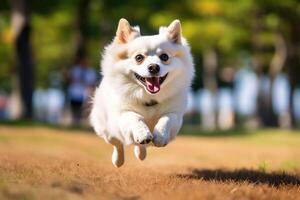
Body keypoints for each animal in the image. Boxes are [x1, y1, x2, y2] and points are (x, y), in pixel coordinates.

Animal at [89, 18, 195, 167]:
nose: (153, 67)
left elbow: (166, 119)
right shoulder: (122, 114)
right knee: (117, 144)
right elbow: (135, 117)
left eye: (164, 57)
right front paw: (143, 134)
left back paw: (141, 153)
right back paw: (118, 160)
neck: (149, 97)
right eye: (139, 57)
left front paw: (160, 136)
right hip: (106, 130)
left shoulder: (175, 114)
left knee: (139, 146)